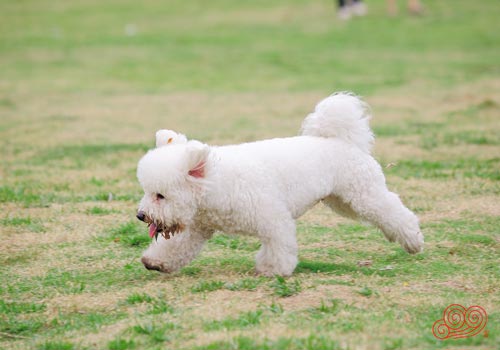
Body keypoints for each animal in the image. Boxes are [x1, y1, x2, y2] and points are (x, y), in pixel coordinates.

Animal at [136, 93, 422, 276]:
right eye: (147, 192)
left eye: (161, 195)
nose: (141, 215)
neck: (215, 185)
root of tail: (339, 139)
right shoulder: (197, 227)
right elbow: (176, 246)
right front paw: (156, 261)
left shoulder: (273, 218)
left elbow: (278, 246)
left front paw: (272, 270)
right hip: (343, 201)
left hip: (363, 194)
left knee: (393, 211)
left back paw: (413, 241)